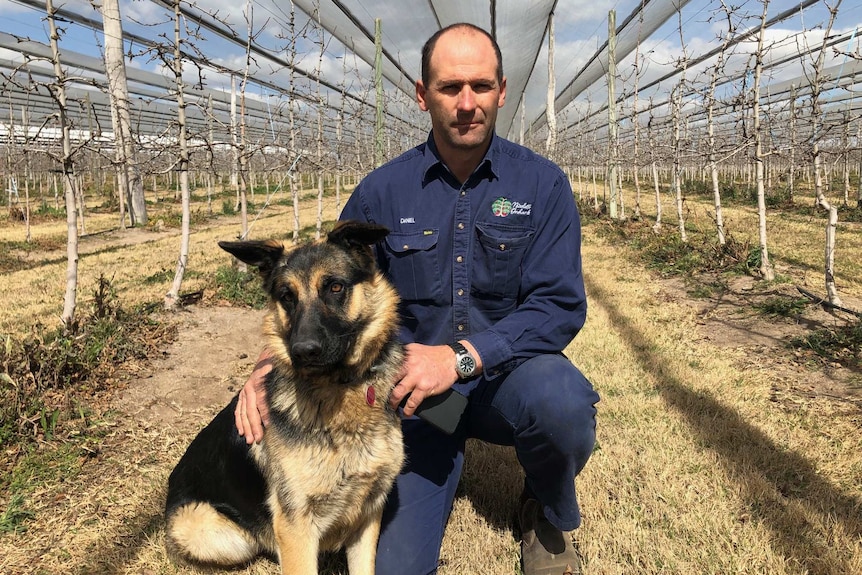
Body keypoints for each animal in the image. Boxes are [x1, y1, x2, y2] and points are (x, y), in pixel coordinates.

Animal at [166, 223, 408, 575]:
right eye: (286, 297)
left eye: (335, 287)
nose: (303, 352)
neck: (338, 389)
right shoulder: (296, 529)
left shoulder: (368, 515)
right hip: (212, 531)